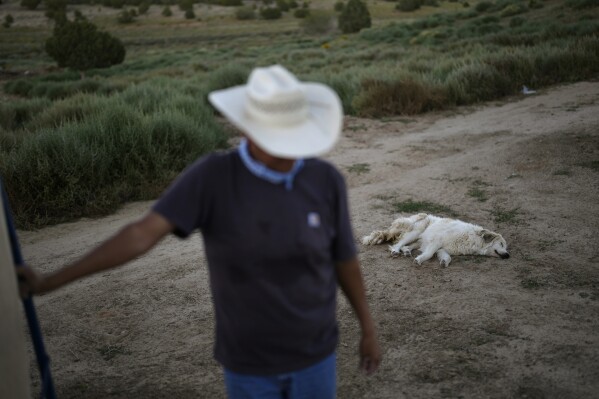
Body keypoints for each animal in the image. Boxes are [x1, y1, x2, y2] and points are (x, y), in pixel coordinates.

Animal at [360, 214, 510, 268]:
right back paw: (396, 251)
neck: (473, 239)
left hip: (419, 239)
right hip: (417, 230)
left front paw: (444, 262)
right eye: (502, 244)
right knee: (398, 243)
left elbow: (447, 257)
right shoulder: (437, 241)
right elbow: (429, 254)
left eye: (505, 246)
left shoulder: (442, 249)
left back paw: (407, 252)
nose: (508, 255)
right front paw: (419, 260)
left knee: (407, 246)